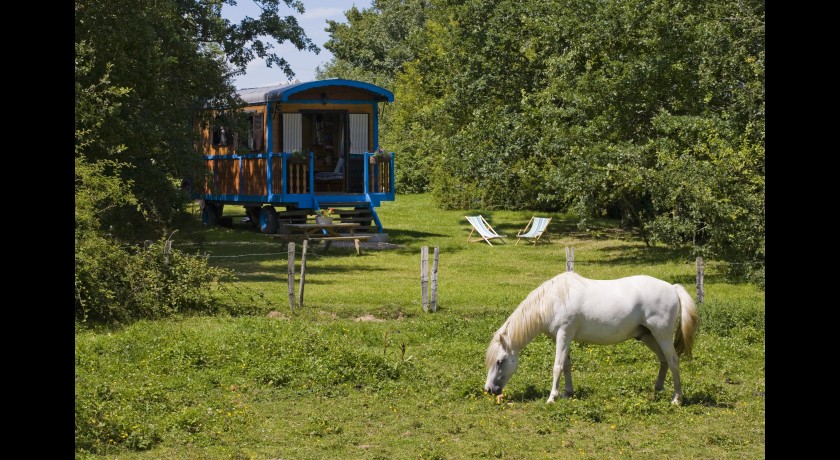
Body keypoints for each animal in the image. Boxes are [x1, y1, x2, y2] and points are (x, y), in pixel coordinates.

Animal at [482, 272, 700, 404]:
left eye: (500, 361)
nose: (489, 389)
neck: (553, 300)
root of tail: (672, 288)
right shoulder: (564, 337)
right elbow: (566, 365)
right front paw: (568, 392)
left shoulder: (564, 334)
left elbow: (557, 366)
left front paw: (552, 397)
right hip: (648, 337)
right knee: (664, 361)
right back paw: (658, 389)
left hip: (663, 336)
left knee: (673, 361)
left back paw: (676, 399)